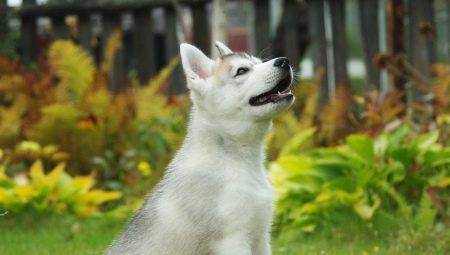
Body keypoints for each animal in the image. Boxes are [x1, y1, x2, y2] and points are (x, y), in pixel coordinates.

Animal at [107, 41, 294, 255]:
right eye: (242, 71)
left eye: (258, 61)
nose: (284, 61)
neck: (238, 160)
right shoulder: (233, 240)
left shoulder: (261, 238)